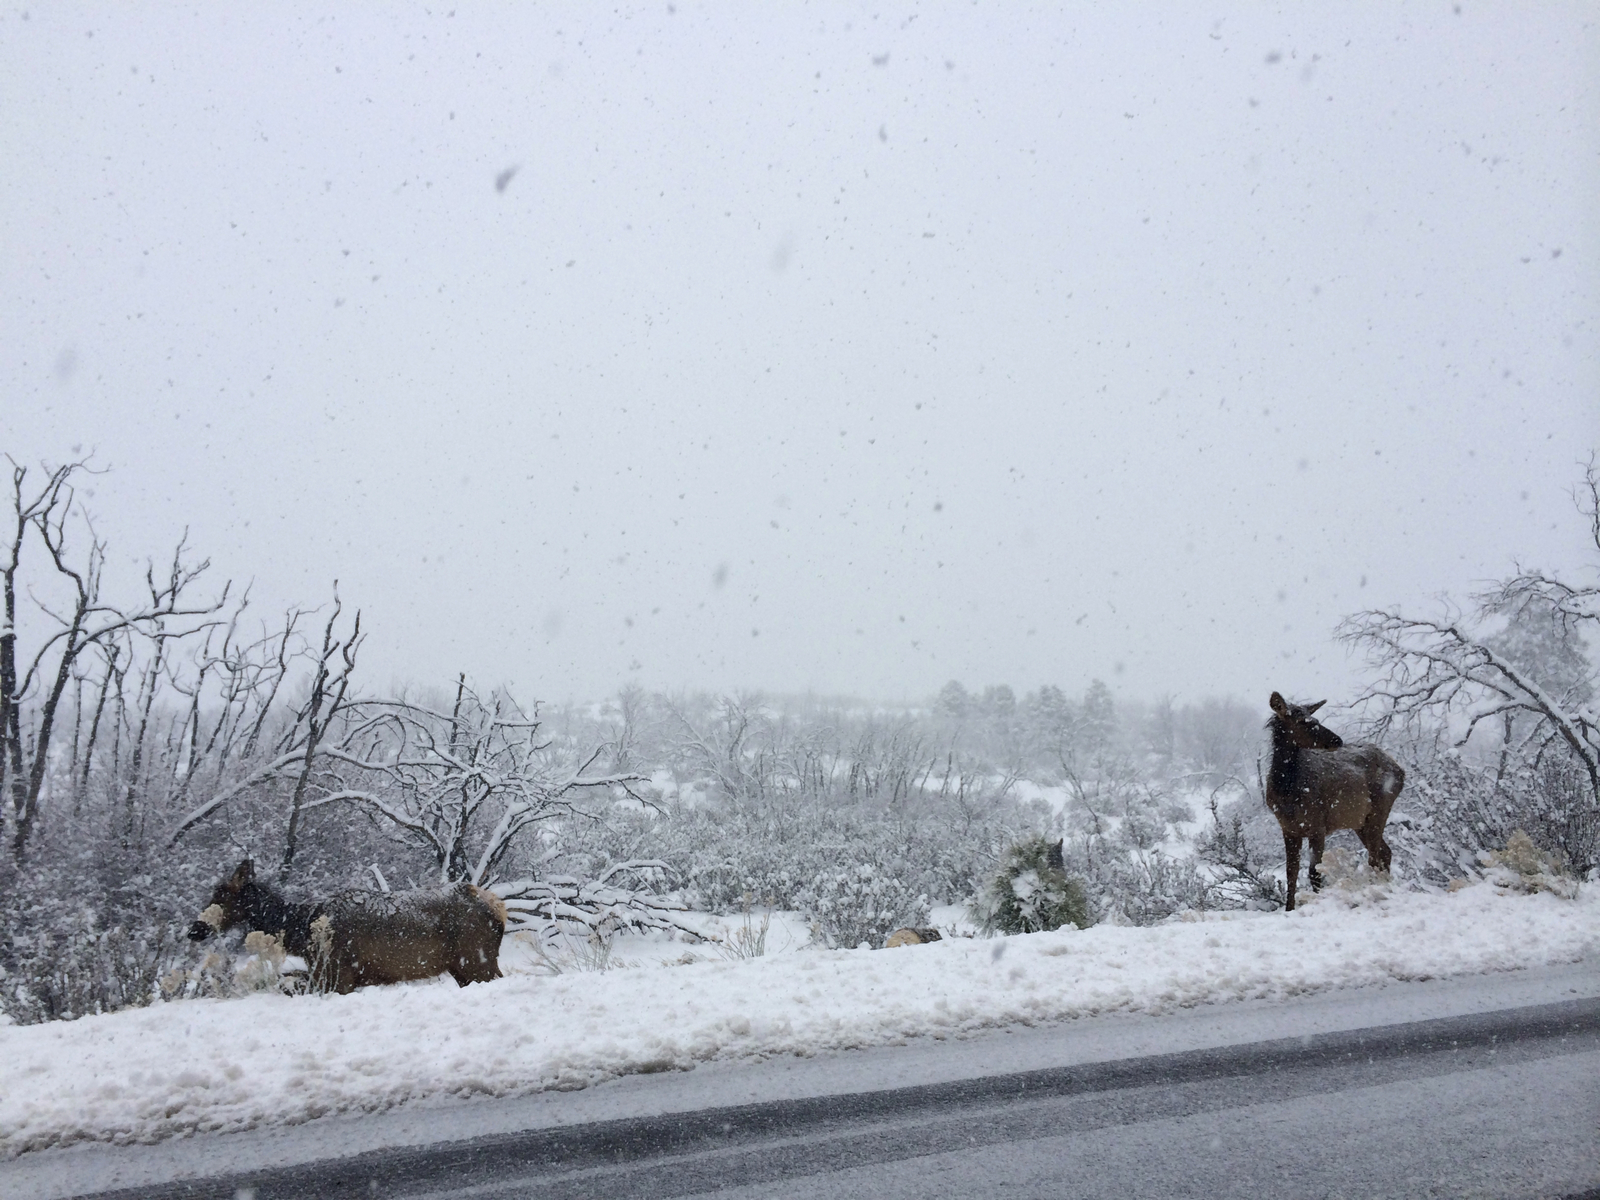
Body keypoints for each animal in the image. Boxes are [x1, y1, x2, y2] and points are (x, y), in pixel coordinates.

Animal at [189, 860, 507, 993]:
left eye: (221, 894)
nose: (194, 929)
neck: (302, 932)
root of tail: (498, 909)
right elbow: (285, 980)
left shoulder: (338, 975)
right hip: (463, 967)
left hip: (477, 961)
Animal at [1264, 692, 1405, 911]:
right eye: (1303, 722)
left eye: (1315, 719)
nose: (1337, 739)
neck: (1287, 793)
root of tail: (1401, 771)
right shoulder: (1289, 828)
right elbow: (1291, 873)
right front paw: (1289, 909)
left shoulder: (1317, 825)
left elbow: (1315, 871)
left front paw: (1318, 902)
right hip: (1360, 822)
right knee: (1385, 852)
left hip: (1380, 808)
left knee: (1375, 855)